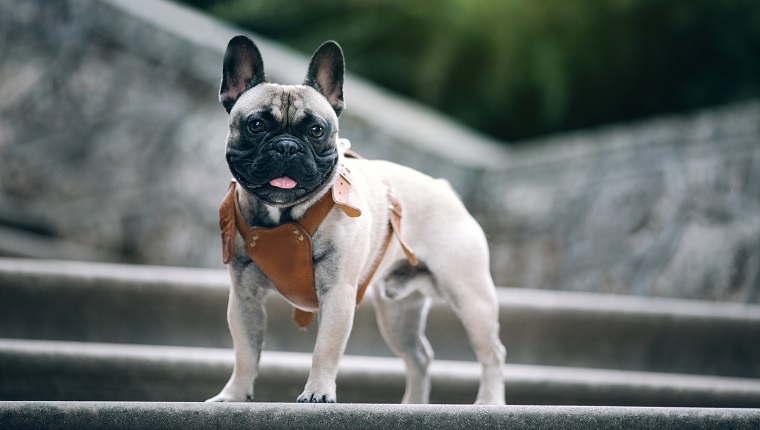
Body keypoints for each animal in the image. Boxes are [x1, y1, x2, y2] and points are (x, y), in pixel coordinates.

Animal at [208, 35, 504, 404]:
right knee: (419, 356)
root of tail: (444, 188)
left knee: (492, 353)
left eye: (317, 131)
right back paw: (412, 404)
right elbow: (245, 352)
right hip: (397, 313)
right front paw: (233, 396)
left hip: (470, 295)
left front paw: (317, 393)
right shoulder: (244, 299)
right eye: (256, 125)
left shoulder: (338, 295)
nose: (287, 146)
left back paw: (489, 402)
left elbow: (325, 350)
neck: (286, 215)